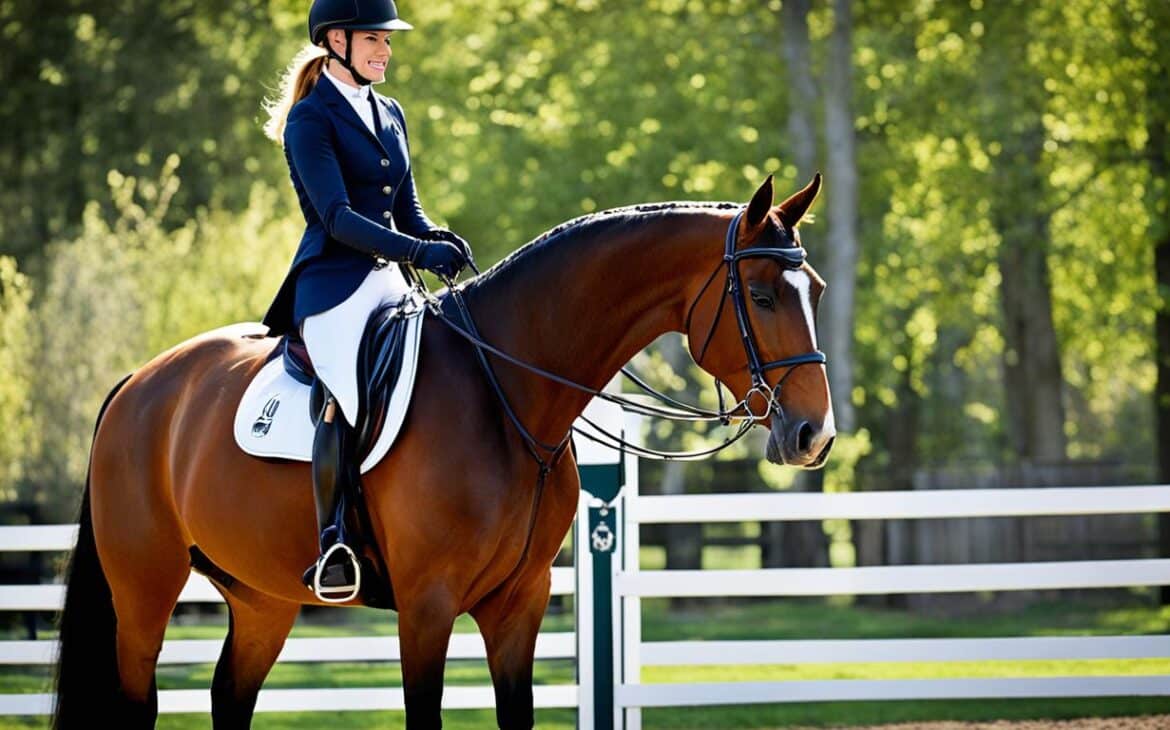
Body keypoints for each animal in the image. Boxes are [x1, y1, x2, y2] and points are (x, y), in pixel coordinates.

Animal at [52, 174, 833, 725]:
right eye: (763, 295)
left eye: (816, 289)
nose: (814, 435)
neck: (508, 388)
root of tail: (139, 383)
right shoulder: (426, 609)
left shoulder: (518, 605)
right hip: (143, 594)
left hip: (261, 599)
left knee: (229, 697)